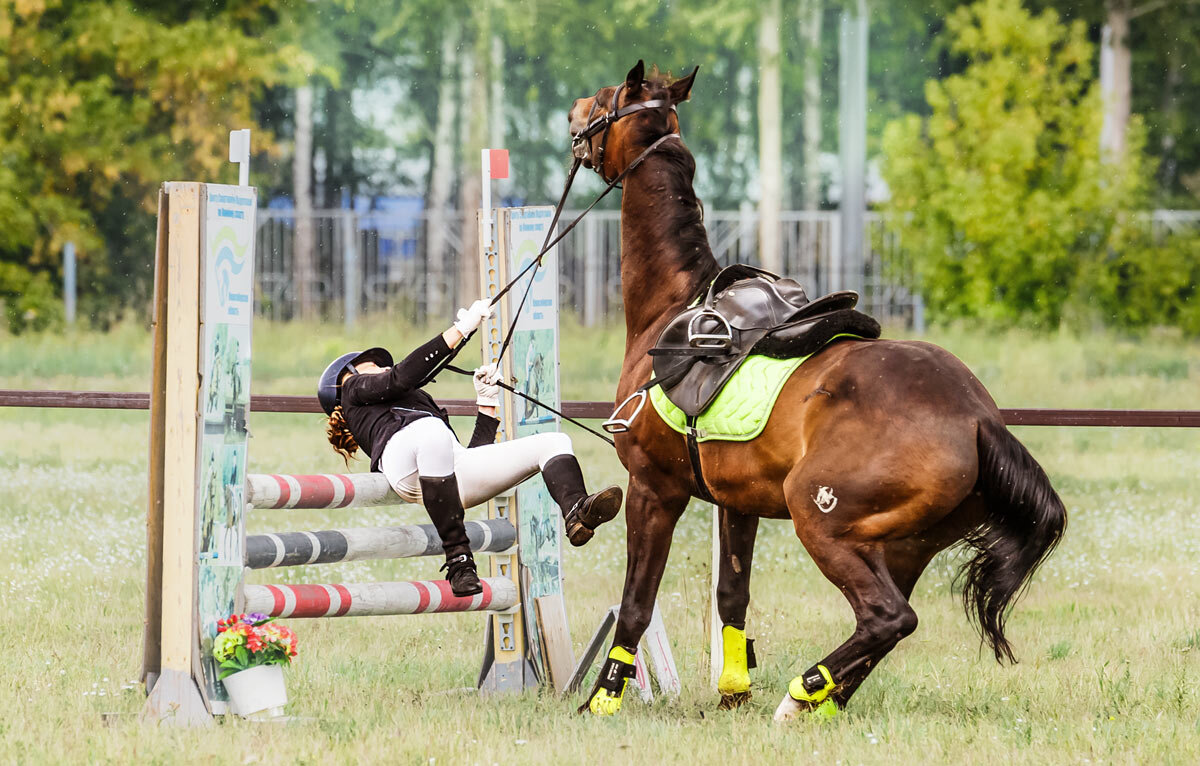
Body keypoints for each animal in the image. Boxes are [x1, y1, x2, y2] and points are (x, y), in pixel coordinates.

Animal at [571, 63, 1070, 725]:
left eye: (605, 100)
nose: (574, 115)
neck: (673, 308)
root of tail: (977, 417)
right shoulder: (737, 504)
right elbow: (732, 595)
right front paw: (733, 690)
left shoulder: (654, 489)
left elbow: (636, 601)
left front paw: (606, 696)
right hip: (903, 546)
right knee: (884, 623)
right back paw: (825, 700)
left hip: (820, 519)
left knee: (888, 617)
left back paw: (802, 693)